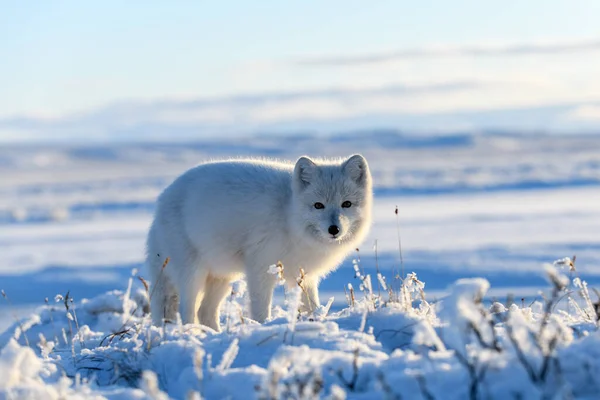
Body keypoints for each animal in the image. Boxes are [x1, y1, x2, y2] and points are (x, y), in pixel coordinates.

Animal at [145, 155, 370, 330]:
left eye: (346, 204)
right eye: (318, 205)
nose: (334, 229)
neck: (288, 215)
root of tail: (161, 203)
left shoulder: (304, 276)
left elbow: (312, 307)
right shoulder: (260, 269)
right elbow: (261, 310)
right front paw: (262, 328)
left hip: (221, 277)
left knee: (205, 311)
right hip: (192, 274)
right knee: (188, 311)